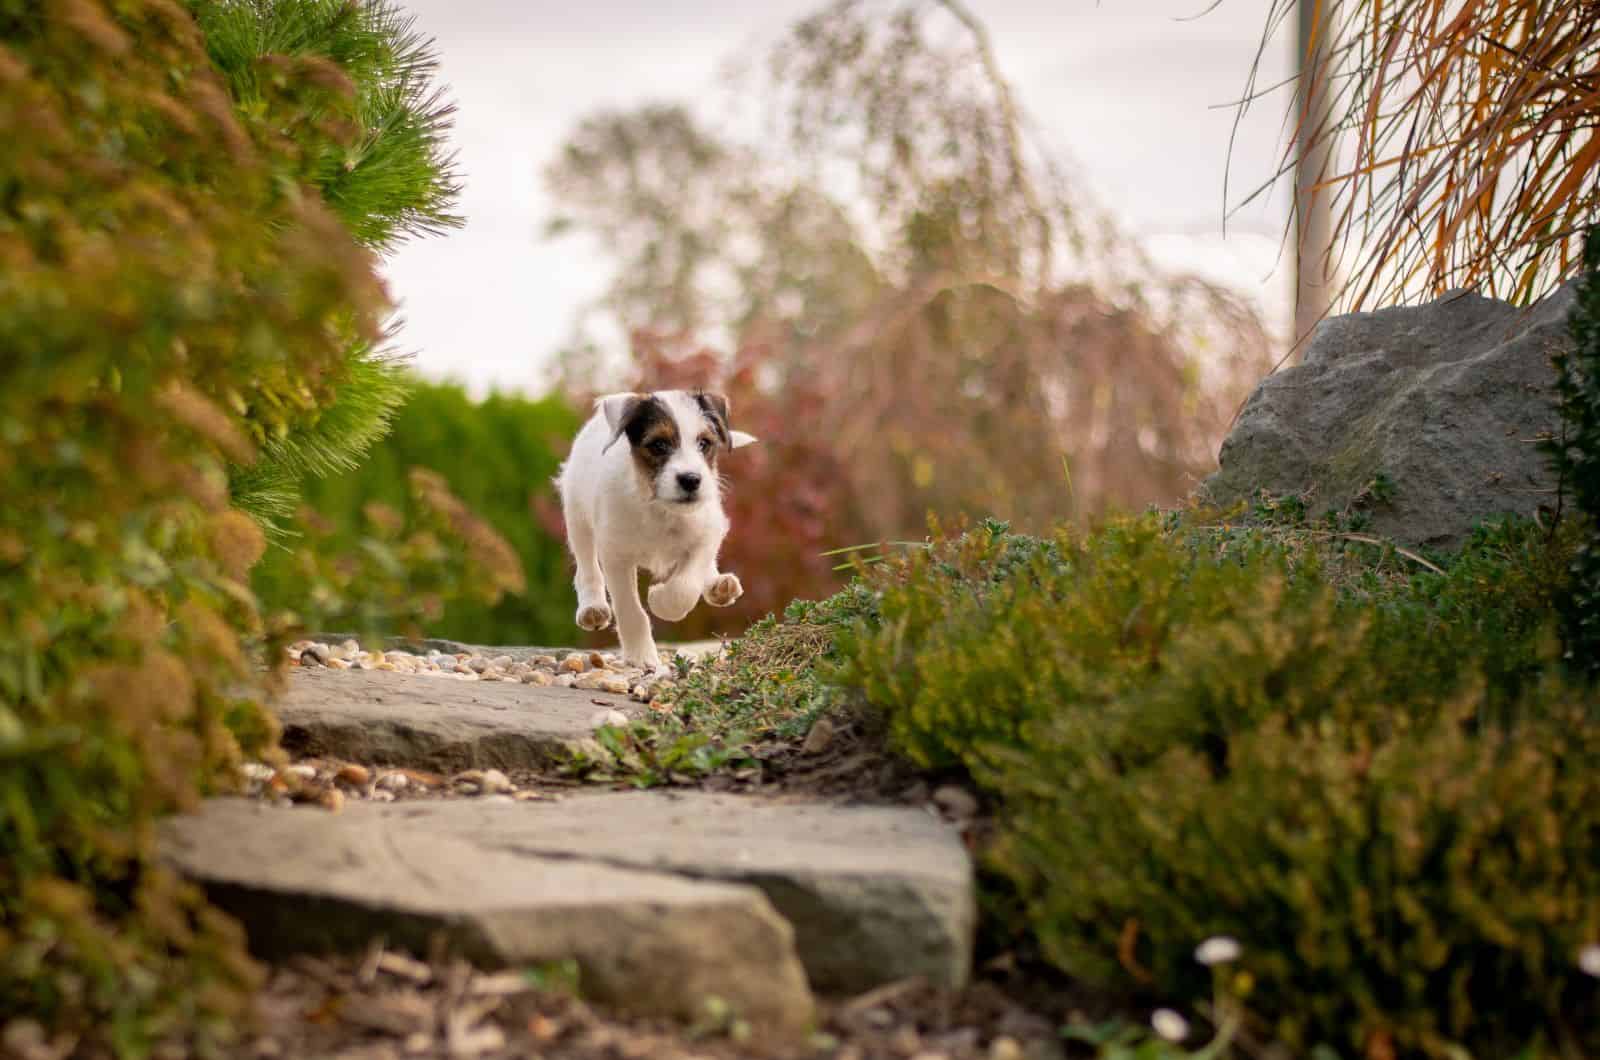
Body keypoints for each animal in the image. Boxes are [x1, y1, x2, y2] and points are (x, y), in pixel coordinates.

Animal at [556, 390, 755, 672]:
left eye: (704, 443)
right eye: (658, 445)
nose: (691, 479)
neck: (660, 510)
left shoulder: (708, 533)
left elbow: (686, 586)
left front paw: (662, 601)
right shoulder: (616, 554)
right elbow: (630, 608)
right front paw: (641, 654)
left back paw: (718, 585)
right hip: (577, 518)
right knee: (586, 569)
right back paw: (592, 608)